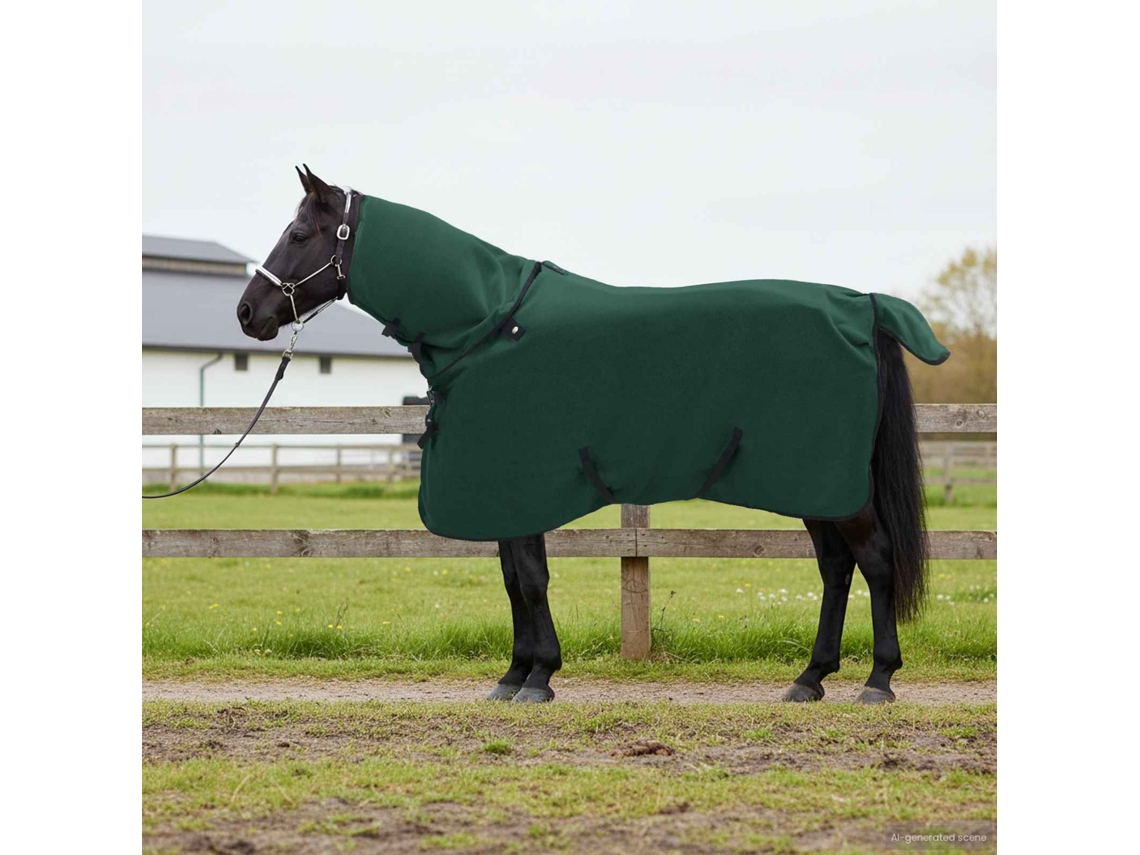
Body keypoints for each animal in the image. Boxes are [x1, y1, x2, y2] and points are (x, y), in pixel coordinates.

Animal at [237, 166, 942, 705]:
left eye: (298, 233)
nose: (248, 313)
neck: (489, 323)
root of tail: (862, 306)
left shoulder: (520, 485)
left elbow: (531, 579)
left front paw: (539, 677)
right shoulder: (503, 492)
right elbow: (514, 579)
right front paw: (514, 675)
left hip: (835, 487)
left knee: (876, 561)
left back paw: (877, 680)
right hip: (816, 487)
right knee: (836, 568)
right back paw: (810, 678)